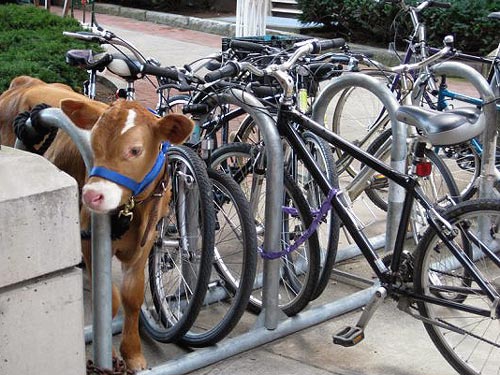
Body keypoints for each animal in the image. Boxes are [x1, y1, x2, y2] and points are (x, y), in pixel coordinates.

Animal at [0, 75, 194, 370]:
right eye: (92, 143)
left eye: (135, 150)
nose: (92, 194)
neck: (134, 211)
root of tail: (26, 81)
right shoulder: (88, 239)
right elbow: (110, 301)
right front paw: (110, 358)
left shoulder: (145, 242)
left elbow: (132, 297)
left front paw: (133, 354)